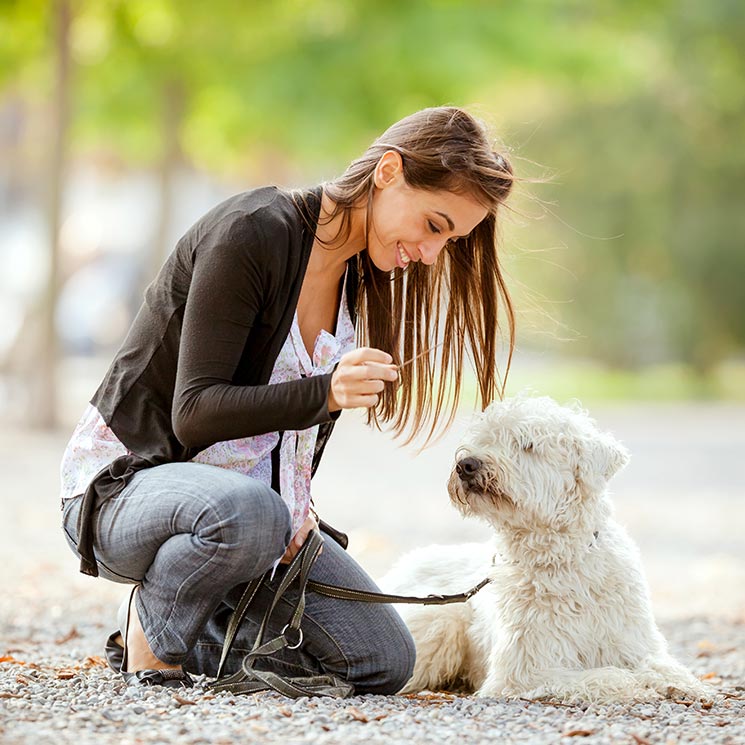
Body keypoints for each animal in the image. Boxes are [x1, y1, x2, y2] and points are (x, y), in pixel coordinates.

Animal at [380, 396, 712, 704]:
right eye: (485, 438)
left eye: (527, 444)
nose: (467, 465)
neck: (561, 557)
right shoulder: (528, 669)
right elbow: (602, 677)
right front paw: (634, 686)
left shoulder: (632, 642)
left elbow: (662, 666)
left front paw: (685, 686)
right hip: (441, 621)